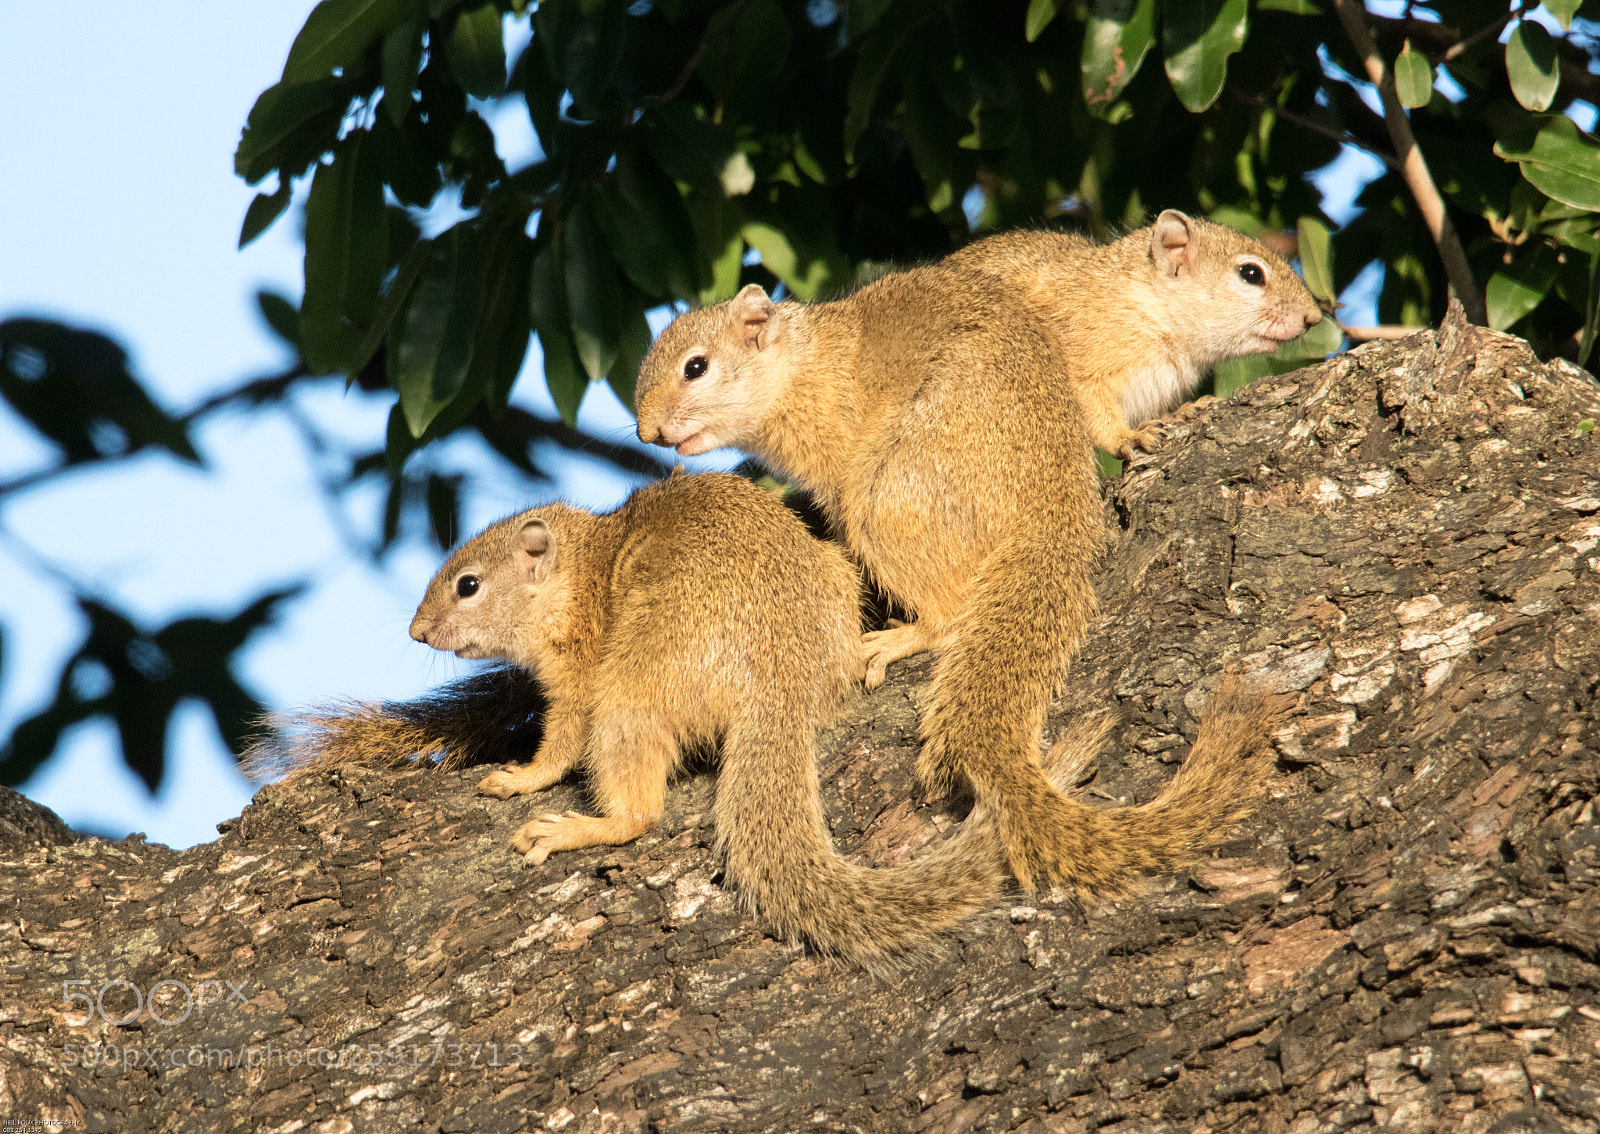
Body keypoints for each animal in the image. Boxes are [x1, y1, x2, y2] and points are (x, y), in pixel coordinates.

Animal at [251, 471, 1278, 973]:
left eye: (467, 583)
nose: (419, 629)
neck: (582, 569)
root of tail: (777, 686)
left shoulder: (579, 675)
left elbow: (557, 740)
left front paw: (520, 778)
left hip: (635, 689)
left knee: (637, 806)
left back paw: (574, 827)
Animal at [632, 221, 1298, 892]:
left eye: (696, 367)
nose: (647, 432)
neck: (803, 368)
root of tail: (1053, 517)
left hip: (891, 503)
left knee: (949, 614)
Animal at [946, 210, 1322, 459]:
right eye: (1251, 273)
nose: (1314, 317)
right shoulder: (1083, 357)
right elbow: (1092, 408)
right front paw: (1125, 438)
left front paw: (1182, 412)